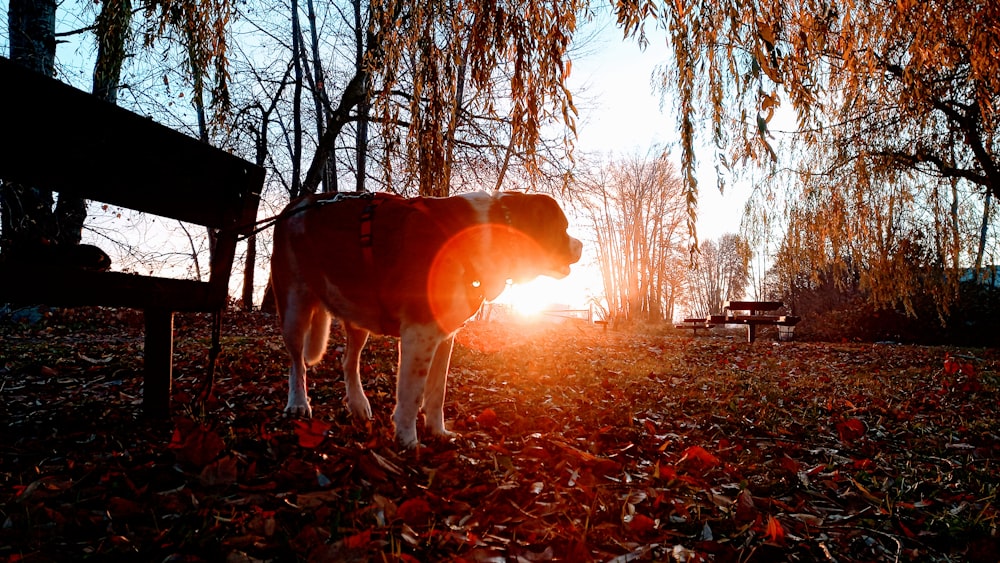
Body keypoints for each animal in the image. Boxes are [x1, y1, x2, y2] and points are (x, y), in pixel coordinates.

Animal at [272, 193, 584, 450]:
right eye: (563, 227)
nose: (581, 245)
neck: (487, 234)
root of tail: (294, 205)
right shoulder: (419, 333)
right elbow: (412, 393)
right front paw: (408, 440)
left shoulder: (444, 336)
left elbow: (436, 391)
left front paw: (438, 432)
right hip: (294, 307)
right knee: (297, 363)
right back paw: (298, 403)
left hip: (355, 314)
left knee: (348, 360)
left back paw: (359, 404)